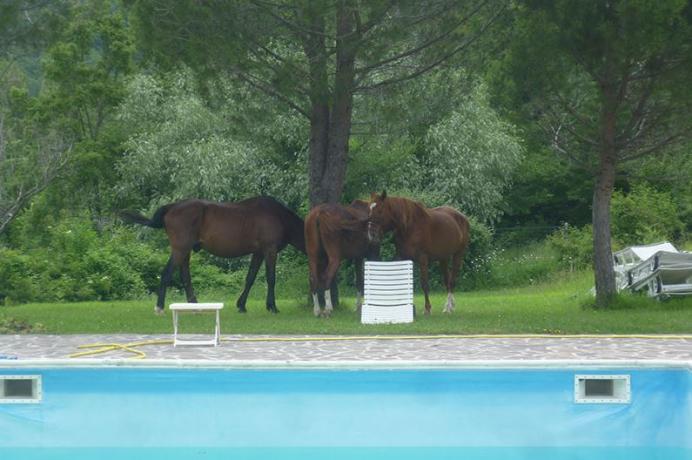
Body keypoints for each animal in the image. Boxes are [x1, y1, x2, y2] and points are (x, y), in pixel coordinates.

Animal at [120, 196, 304, 314]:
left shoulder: (258, 253)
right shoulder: (269, 251)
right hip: (180, 250)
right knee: (166, 274)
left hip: (185, 252)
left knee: (185, 277)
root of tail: (171, 207)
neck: (278, 216)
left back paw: (194, 306)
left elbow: (250, 278)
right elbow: (271, 278)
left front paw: (241, 305)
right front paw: (272, 306)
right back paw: (160, 307)